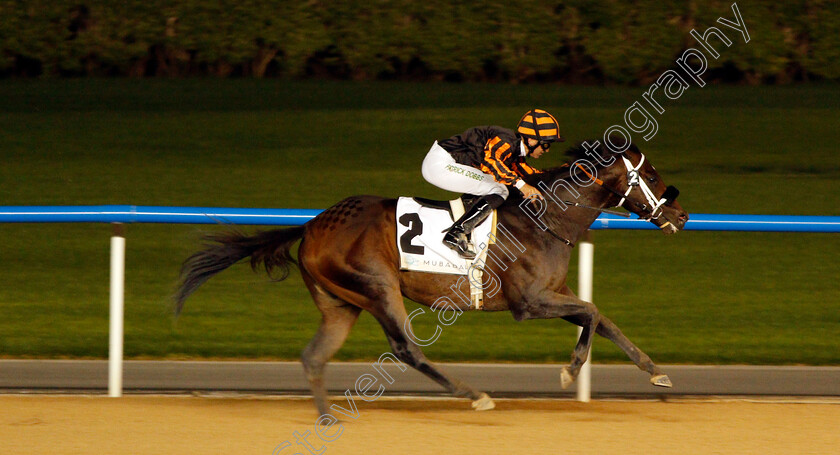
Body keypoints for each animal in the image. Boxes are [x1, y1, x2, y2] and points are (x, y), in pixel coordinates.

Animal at [172, 141, 688, 416]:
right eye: (650, 173)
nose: (681, 215)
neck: (546, 218)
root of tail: (313, 225)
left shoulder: (555, 292)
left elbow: (604, 320)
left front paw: (656, 372)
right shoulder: (529, 302)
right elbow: (594, 313)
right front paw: (569, 371)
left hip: (340, 303)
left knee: (314, 356)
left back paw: (326, 418)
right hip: (378, 287)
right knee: (406, 349)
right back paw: (473, 394)